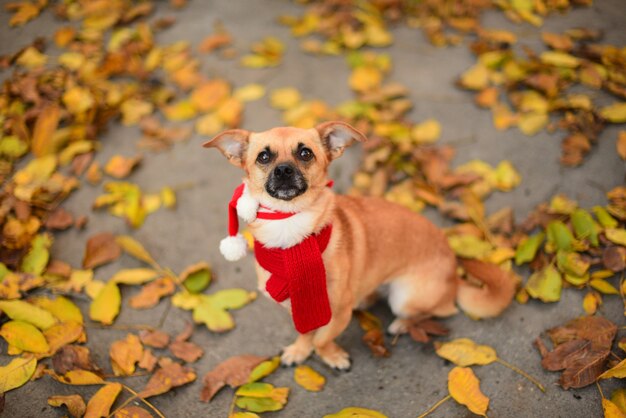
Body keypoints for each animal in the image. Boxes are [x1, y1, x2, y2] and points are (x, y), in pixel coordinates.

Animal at [202, 121, 516, 370]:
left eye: (305, 153)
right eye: (263, 156)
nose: (283, 170)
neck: (290, 230)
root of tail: (454, 277)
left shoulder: (338, 312)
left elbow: (322, 338)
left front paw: (331, 356)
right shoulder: (298, 308)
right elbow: (306, 332)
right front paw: (301, 351)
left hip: (406, 297)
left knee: (440, 311)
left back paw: (403, 323)